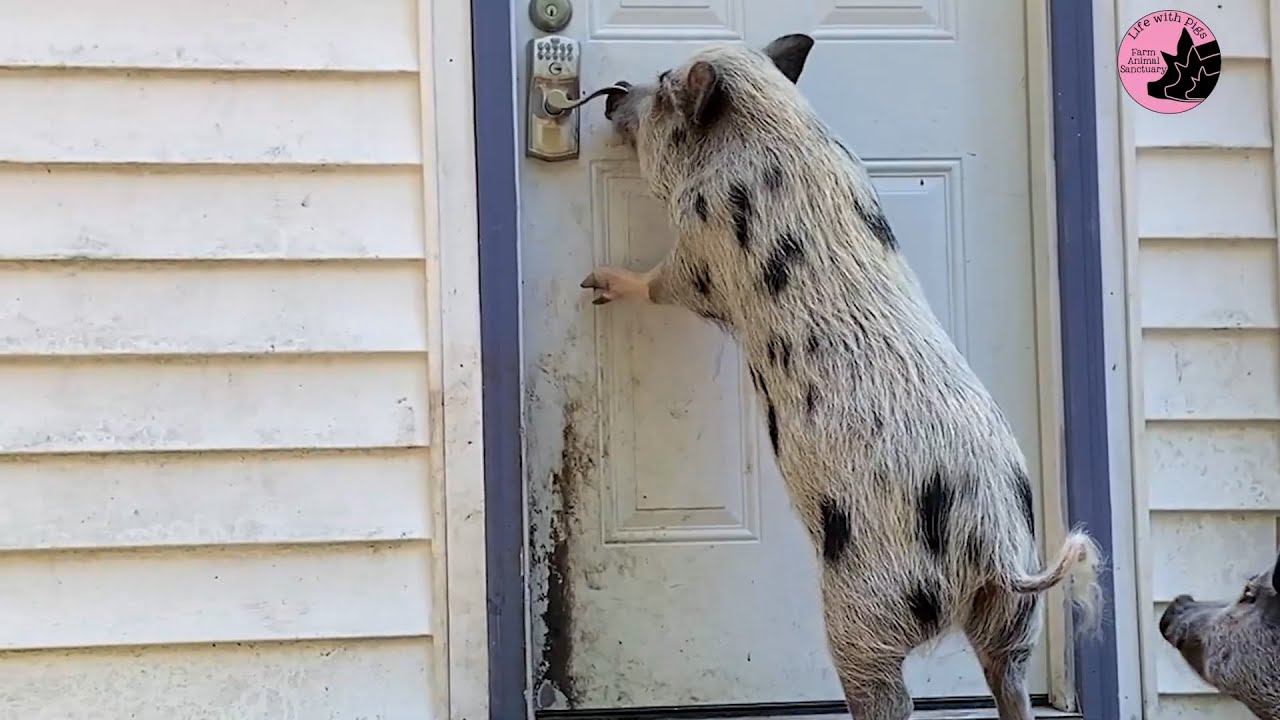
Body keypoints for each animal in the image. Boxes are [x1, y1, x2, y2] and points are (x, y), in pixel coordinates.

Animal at [579, 32, 1104, 720]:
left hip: (864, 610)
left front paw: (595, 285)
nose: (613, 93)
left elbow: (664, 283)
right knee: (1008, 678)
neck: (778, 133)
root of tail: (989, 545)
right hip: (1016, 621)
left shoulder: (702, 250)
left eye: (665, 88)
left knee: (887, 695)